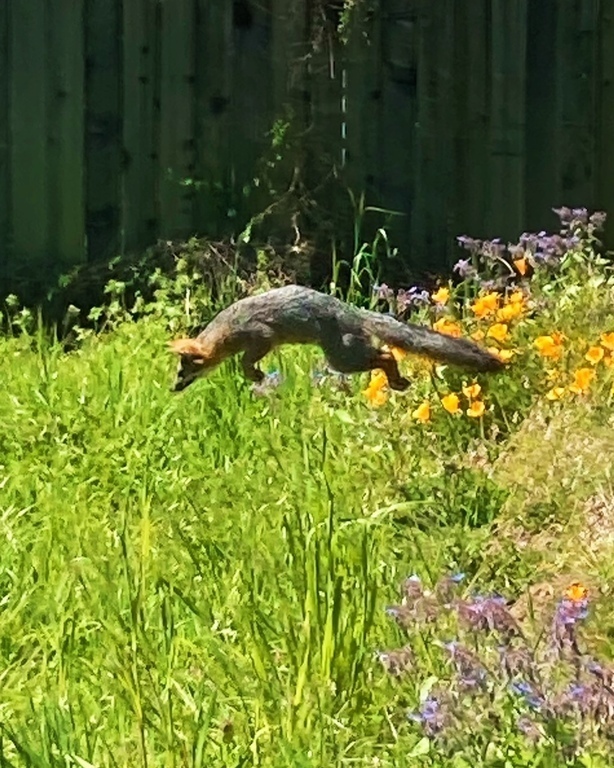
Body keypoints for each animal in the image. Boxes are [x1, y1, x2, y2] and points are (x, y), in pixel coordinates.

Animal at [170, 284, 504, 392]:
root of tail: (353, 311)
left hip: (342, 360)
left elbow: (246, 361)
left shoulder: (261, 334)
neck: (225, 329)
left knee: (386, 355)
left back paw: (396, 381)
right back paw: (398, 382)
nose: (173, 388)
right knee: (385, 354)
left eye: (184, 371)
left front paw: (255, 374)